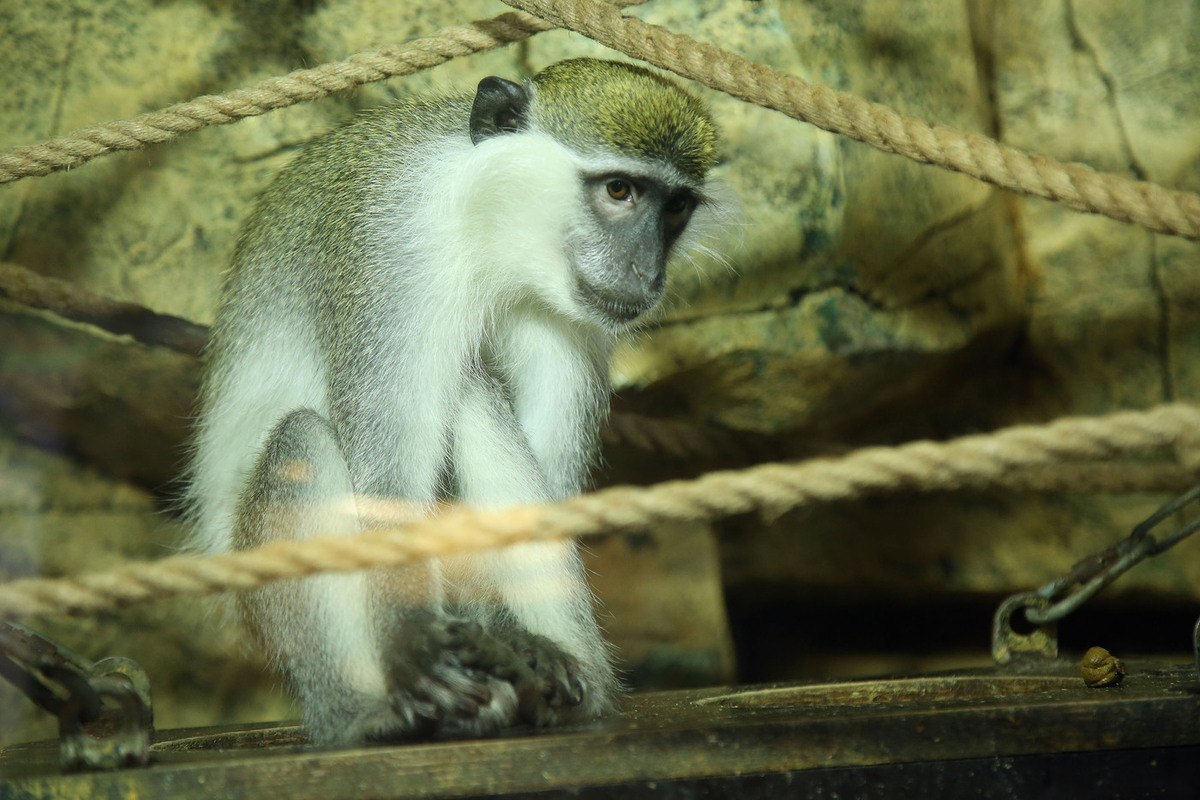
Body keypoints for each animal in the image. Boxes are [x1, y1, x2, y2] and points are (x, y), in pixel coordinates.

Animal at [186, 58, 720, 745]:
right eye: (620, 190)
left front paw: (518, 643)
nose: (646, 273)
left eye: (675, 206)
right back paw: (362, 715)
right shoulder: (395, 255)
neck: (488, 233)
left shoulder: (575, 319)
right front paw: (415, 639)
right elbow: (385, 477)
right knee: (306, 439)